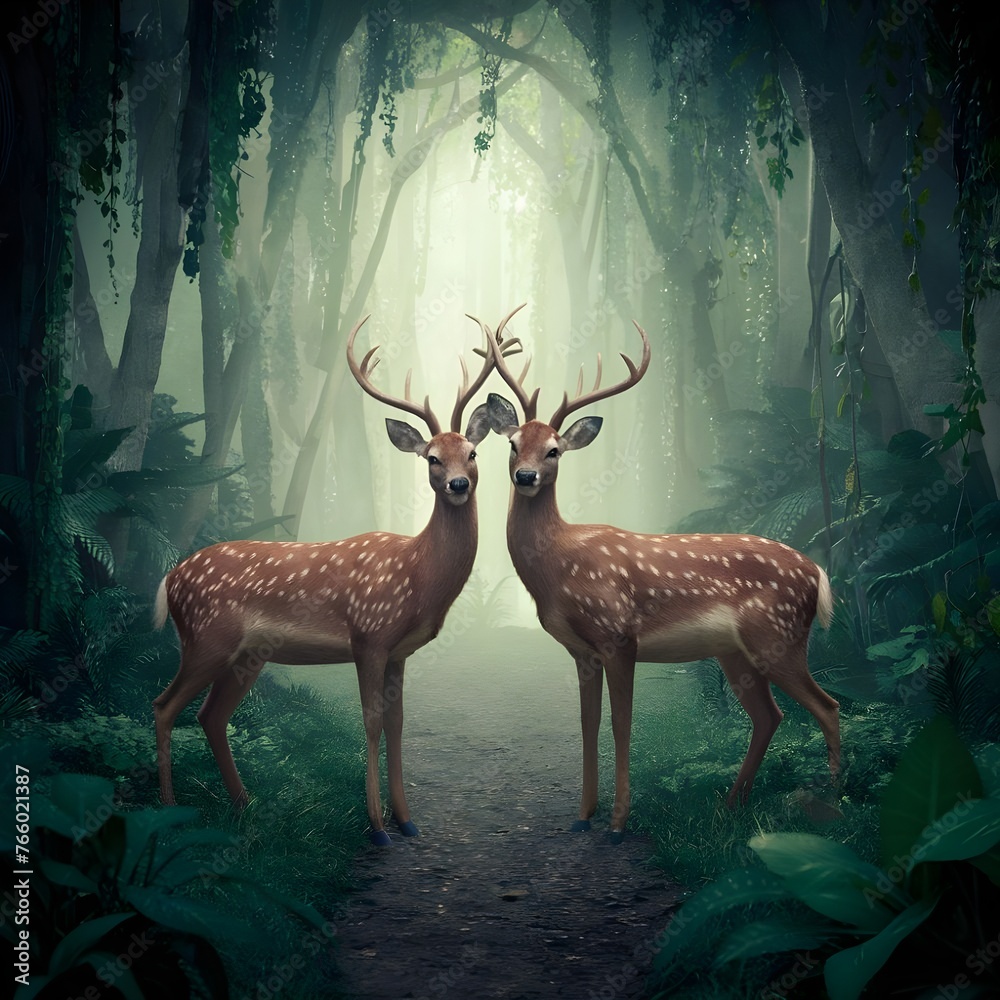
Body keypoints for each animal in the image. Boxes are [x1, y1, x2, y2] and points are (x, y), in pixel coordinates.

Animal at [152, 311, 525, 845]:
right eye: (431, 457)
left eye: (471, 453)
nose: (457, 483)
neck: (416, 575)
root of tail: (170, 578)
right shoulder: (368, 635)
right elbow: (370, 722)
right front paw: (377, 826)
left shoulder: (399, 650)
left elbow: (398, 723)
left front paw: (407, 820)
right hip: (206, 637)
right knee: (164, 706)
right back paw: (168, 810)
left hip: (245, 655)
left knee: (211, 715)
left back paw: (246, 805)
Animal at [483, 312, 840, 842]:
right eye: (512, 444)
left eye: (554, 451)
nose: (524, 476)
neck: (559, 568)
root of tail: (817, 571)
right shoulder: (581, 651)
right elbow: (588, 724)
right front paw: (583, 815)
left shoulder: (618, 636)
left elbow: (621, 724)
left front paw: (617, 822)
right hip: (735, 651)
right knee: (769, 715)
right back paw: (730, 805)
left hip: (779, 635)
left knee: (826, 706)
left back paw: (839, 800)